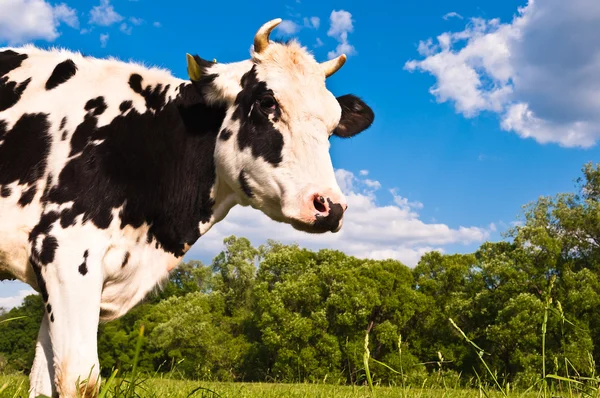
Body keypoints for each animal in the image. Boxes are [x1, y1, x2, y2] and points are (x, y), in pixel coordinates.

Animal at [0, 19, 376, 398]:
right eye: (267, 102)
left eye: (333, 124)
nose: (331, 206)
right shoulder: (66, 250)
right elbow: (80, 380)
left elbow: (44, 383)